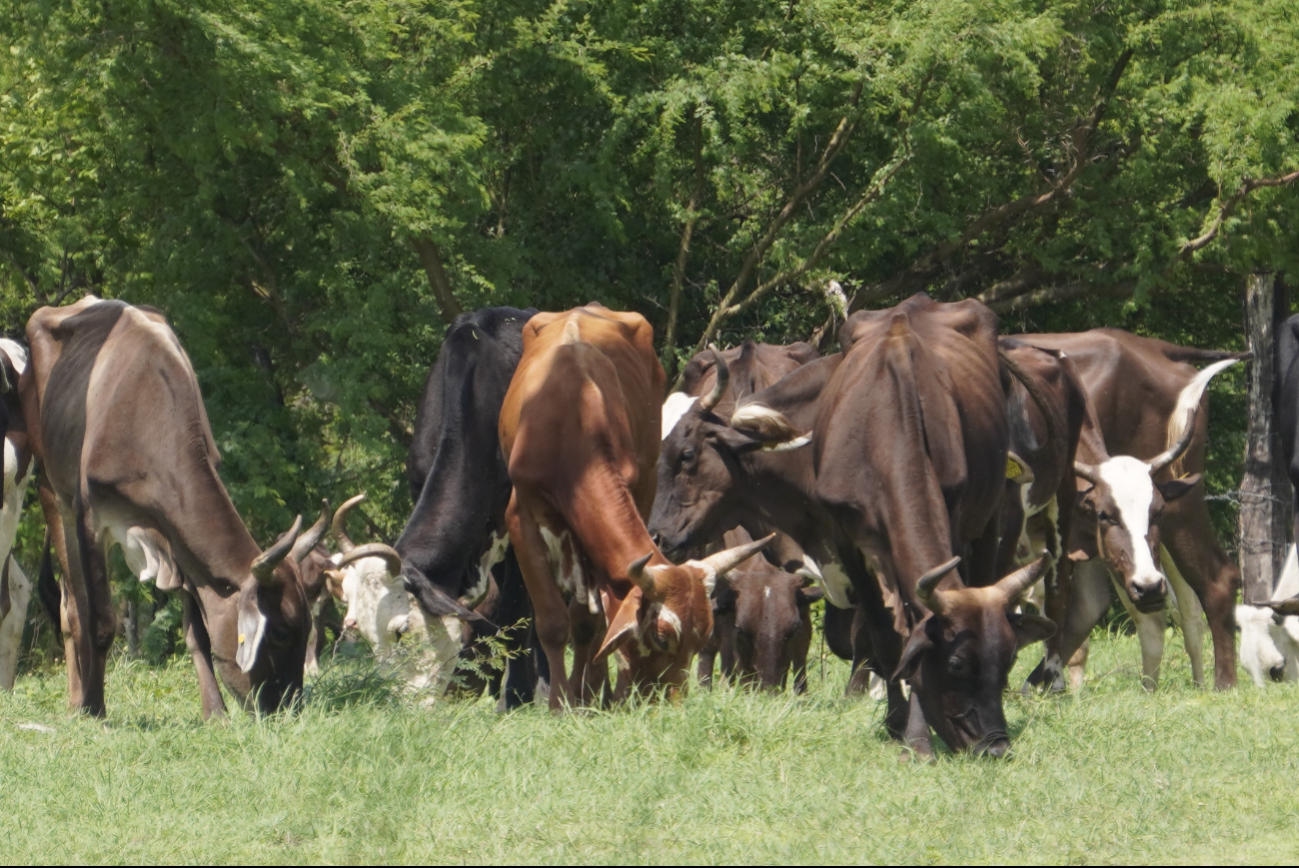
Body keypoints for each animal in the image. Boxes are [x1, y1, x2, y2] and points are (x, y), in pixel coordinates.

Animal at [20, 298, 324, 717]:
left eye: (308, 625)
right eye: (279, 631)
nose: (289, 707)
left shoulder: (174, 533)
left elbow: (197, 630)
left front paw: (215, 712)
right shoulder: (89, 518)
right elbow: (98, 621)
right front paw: (95, 709)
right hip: (51, 490)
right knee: (72, 610)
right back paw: (78, 701)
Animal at [498, 305, 763, 712]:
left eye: (702, 637)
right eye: (662, 637)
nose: (669, 702)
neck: (568, 420)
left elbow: (588, 623)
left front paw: (590, 695)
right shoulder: (521, 517)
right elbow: (553, 623)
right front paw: (560, 703)